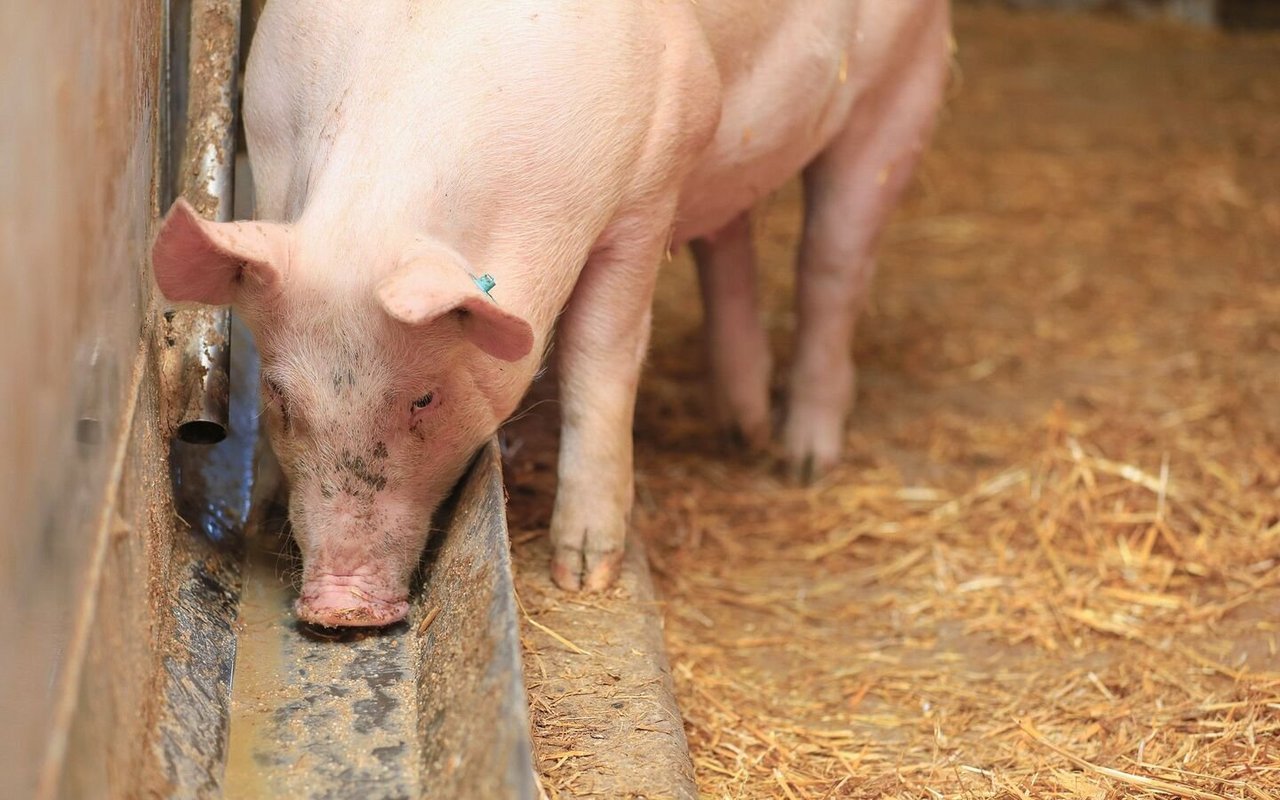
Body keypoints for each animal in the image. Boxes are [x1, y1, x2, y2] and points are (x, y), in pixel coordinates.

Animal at [152, 0, 952, 624]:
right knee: (732, 237)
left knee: (832, 265)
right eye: (280, 396)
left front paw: (584, 575)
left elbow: (601, 362)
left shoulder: (650, 183)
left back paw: (800, 462)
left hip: (904, 84)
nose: (337, 605)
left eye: (424, 397)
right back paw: (742, 430)